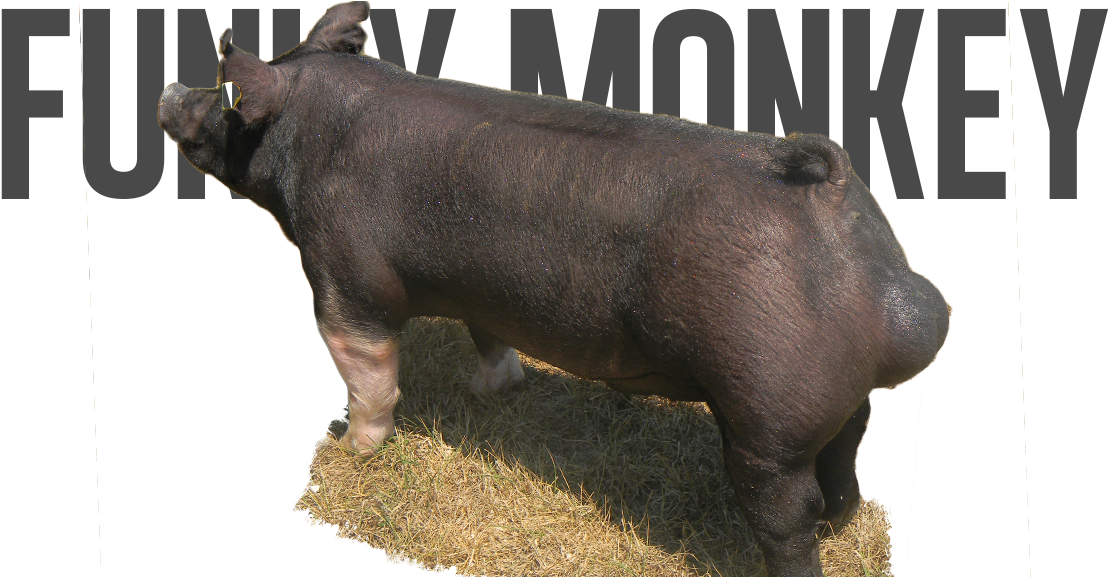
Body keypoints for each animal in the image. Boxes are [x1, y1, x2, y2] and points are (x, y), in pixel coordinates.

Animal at [156, 3, 950, 576]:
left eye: (228, 95)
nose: (167, 89)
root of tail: (838, 208)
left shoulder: (344, 275)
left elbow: (367, 370)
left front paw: (352, 448)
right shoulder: (481, 289)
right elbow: (488, 337)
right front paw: (490, 394)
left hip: (766, 418)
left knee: (788, 514)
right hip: (837, 402)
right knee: (846, 459)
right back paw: (847, 523)